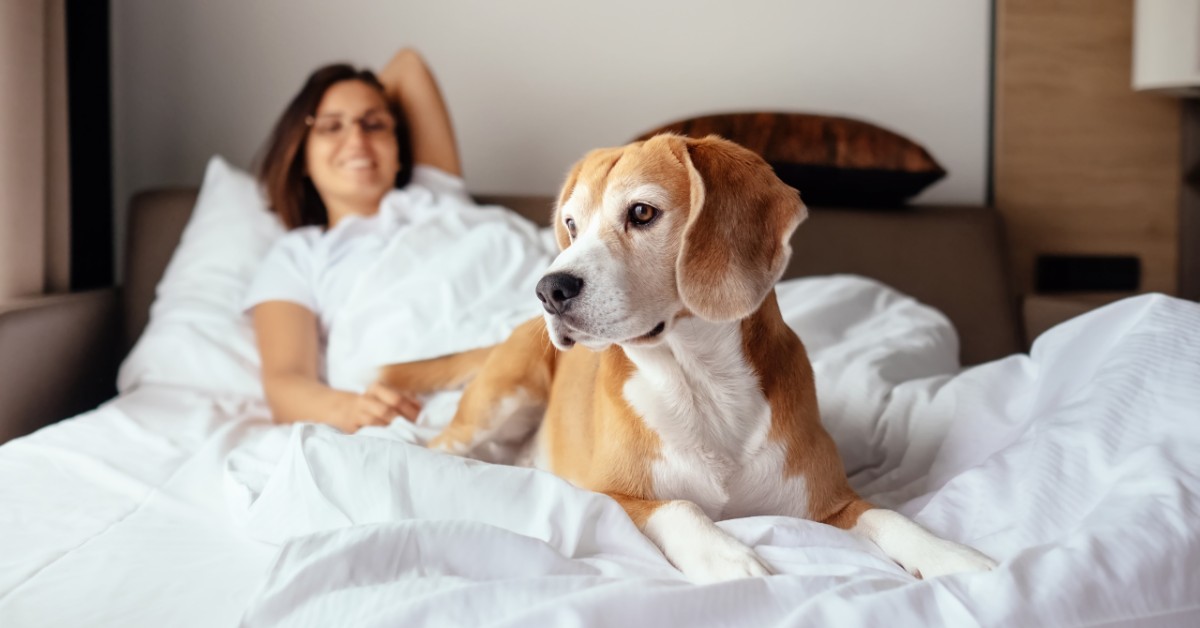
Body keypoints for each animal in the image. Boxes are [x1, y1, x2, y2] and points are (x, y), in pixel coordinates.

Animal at [379, 133, 998, 585]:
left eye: (642, 213)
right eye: (572, 225)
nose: (548, 290)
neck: (699, 382)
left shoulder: (831, 503)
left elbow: (890, 515)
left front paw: (951, 555)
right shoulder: (609, 495)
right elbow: (679, 507)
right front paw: (726, 557)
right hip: (499, 401)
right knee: (437, 444)